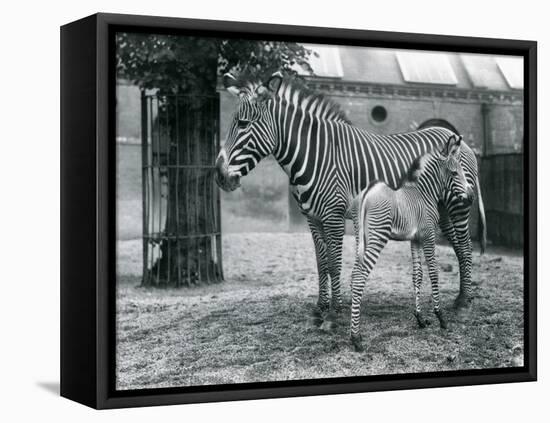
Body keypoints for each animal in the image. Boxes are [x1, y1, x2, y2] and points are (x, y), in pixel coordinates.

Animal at [217, 73, 488, 316]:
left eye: (243, 124)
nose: (220, 176)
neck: (315, 154)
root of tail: (458, 140)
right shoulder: (312, 218)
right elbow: (321, 262)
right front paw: (321, 306)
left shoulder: (334, 215)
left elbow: (334, 263)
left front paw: (336, 310)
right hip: (440, 207)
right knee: (457, 245)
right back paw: (459, 296)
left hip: (457, 204)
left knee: (465, 245)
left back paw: (464, 301)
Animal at [350, 134, 474, 352]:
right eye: (453, 173)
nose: (471, 197)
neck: (424, 193)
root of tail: (368, 191)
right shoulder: (428, 235)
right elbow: (433, 273)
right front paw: (440, 317)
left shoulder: (415, 239)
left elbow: (417, 275)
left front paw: (420, 318)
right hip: (377, 237)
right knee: (359, 278)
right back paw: (356, 338)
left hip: (361, 239)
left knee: (355, 273)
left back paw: (353, 333)